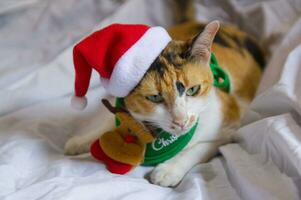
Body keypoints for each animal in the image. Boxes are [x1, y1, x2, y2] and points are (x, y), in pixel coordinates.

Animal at [63, 19, 262, 186]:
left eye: (193, 90)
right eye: (155, 97)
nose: (181, 121)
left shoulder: (230, 123)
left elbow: (201, 147)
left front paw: (168, 170)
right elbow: (110, 119)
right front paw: (81, 140)